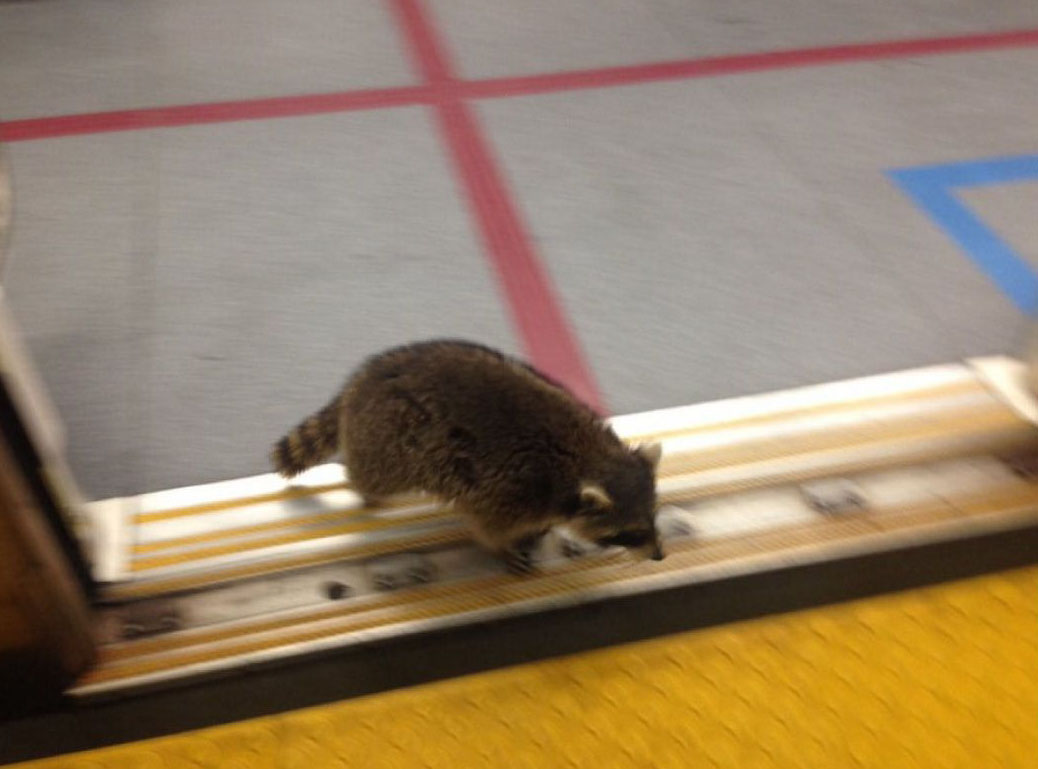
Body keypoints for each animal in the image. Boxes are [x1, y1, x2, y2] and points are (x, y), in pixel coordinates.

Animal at [271, 340, 663, 573]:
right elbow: (488, 528)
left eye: (653, 518)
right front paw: (503, 548)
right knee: (372, 476)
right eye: (630, 532)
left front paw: (543, 531)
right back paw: (364, 488)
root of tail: (363, 382)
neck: (588, 458)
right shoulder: (511, 493)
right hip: (387, 443)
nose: (660, 555)